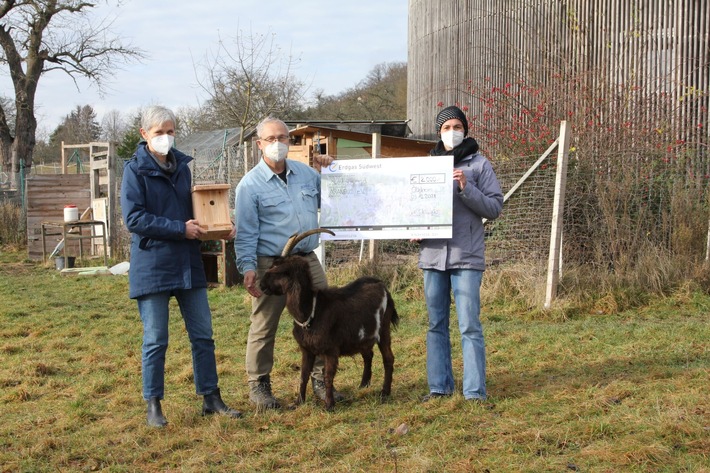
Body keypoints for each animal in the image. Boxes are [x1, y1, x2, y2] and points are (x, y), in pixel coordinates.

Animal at [260, 227, 400, 408]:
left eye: (281, 270)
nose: (261, 284)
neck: (311, 311)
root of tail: (383, 286)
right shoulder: (307, 350)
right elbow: (303, 375)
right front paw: (298, 402)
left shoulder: (331, 350)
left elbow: (328, 376)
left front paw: (329, 404)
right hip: (362, 337)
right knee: (368, 354)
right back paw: (363, 384)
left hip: (383, 330)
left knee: (388, 358)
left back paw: (384, 393)